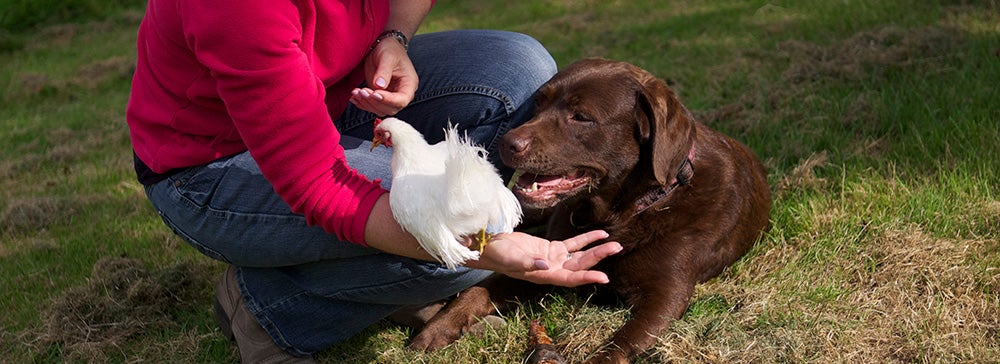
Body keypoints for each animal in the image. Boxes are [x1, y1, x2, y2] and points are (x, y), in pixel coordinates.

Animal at [410, 58, 768, 362]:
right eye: (538, 104)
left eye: (581, 117)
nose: (506, 143)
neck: (621, 214)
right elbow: (477, 290)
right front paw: (437, 328)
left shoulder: (667, 295)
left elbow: (620, 344)